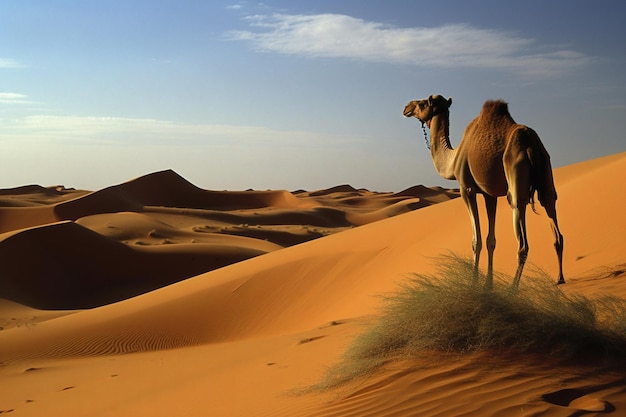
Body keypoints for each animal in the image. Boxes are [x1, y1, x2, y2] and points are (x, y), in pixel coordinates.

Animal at [402, 95, 564, 288]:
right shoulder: (489, 194)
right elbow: (490, 240)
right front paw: (488, 284)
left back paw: (513, 289)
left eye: (422, 104)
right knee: (554, 220)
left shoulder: (467, 188)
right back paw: (559, 279)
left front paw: (473, 283)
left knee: (522, 235)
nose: (406, 107)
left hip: (515, 174)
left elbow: (476, 240)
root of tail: (531, 146)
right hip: (546, 171)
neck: (453, 160)